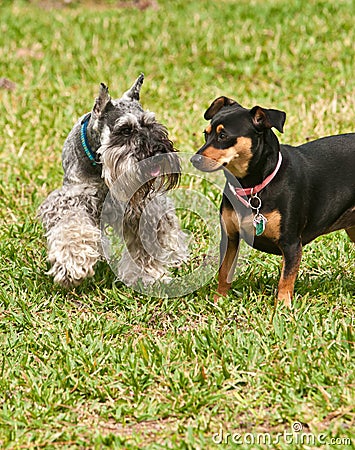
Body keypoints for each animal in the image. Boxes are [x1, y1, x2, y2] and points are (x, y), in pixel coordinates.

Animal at [192, 95, 355, 306]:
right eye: (206, 134)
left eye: (223, 136)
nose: (194, 160)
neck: (253, 188)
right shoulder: (230, 238)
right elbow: (224, 272)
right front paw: (219, 300)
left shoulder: (291, 244)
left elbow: (286, 279)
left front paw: (283, 307)